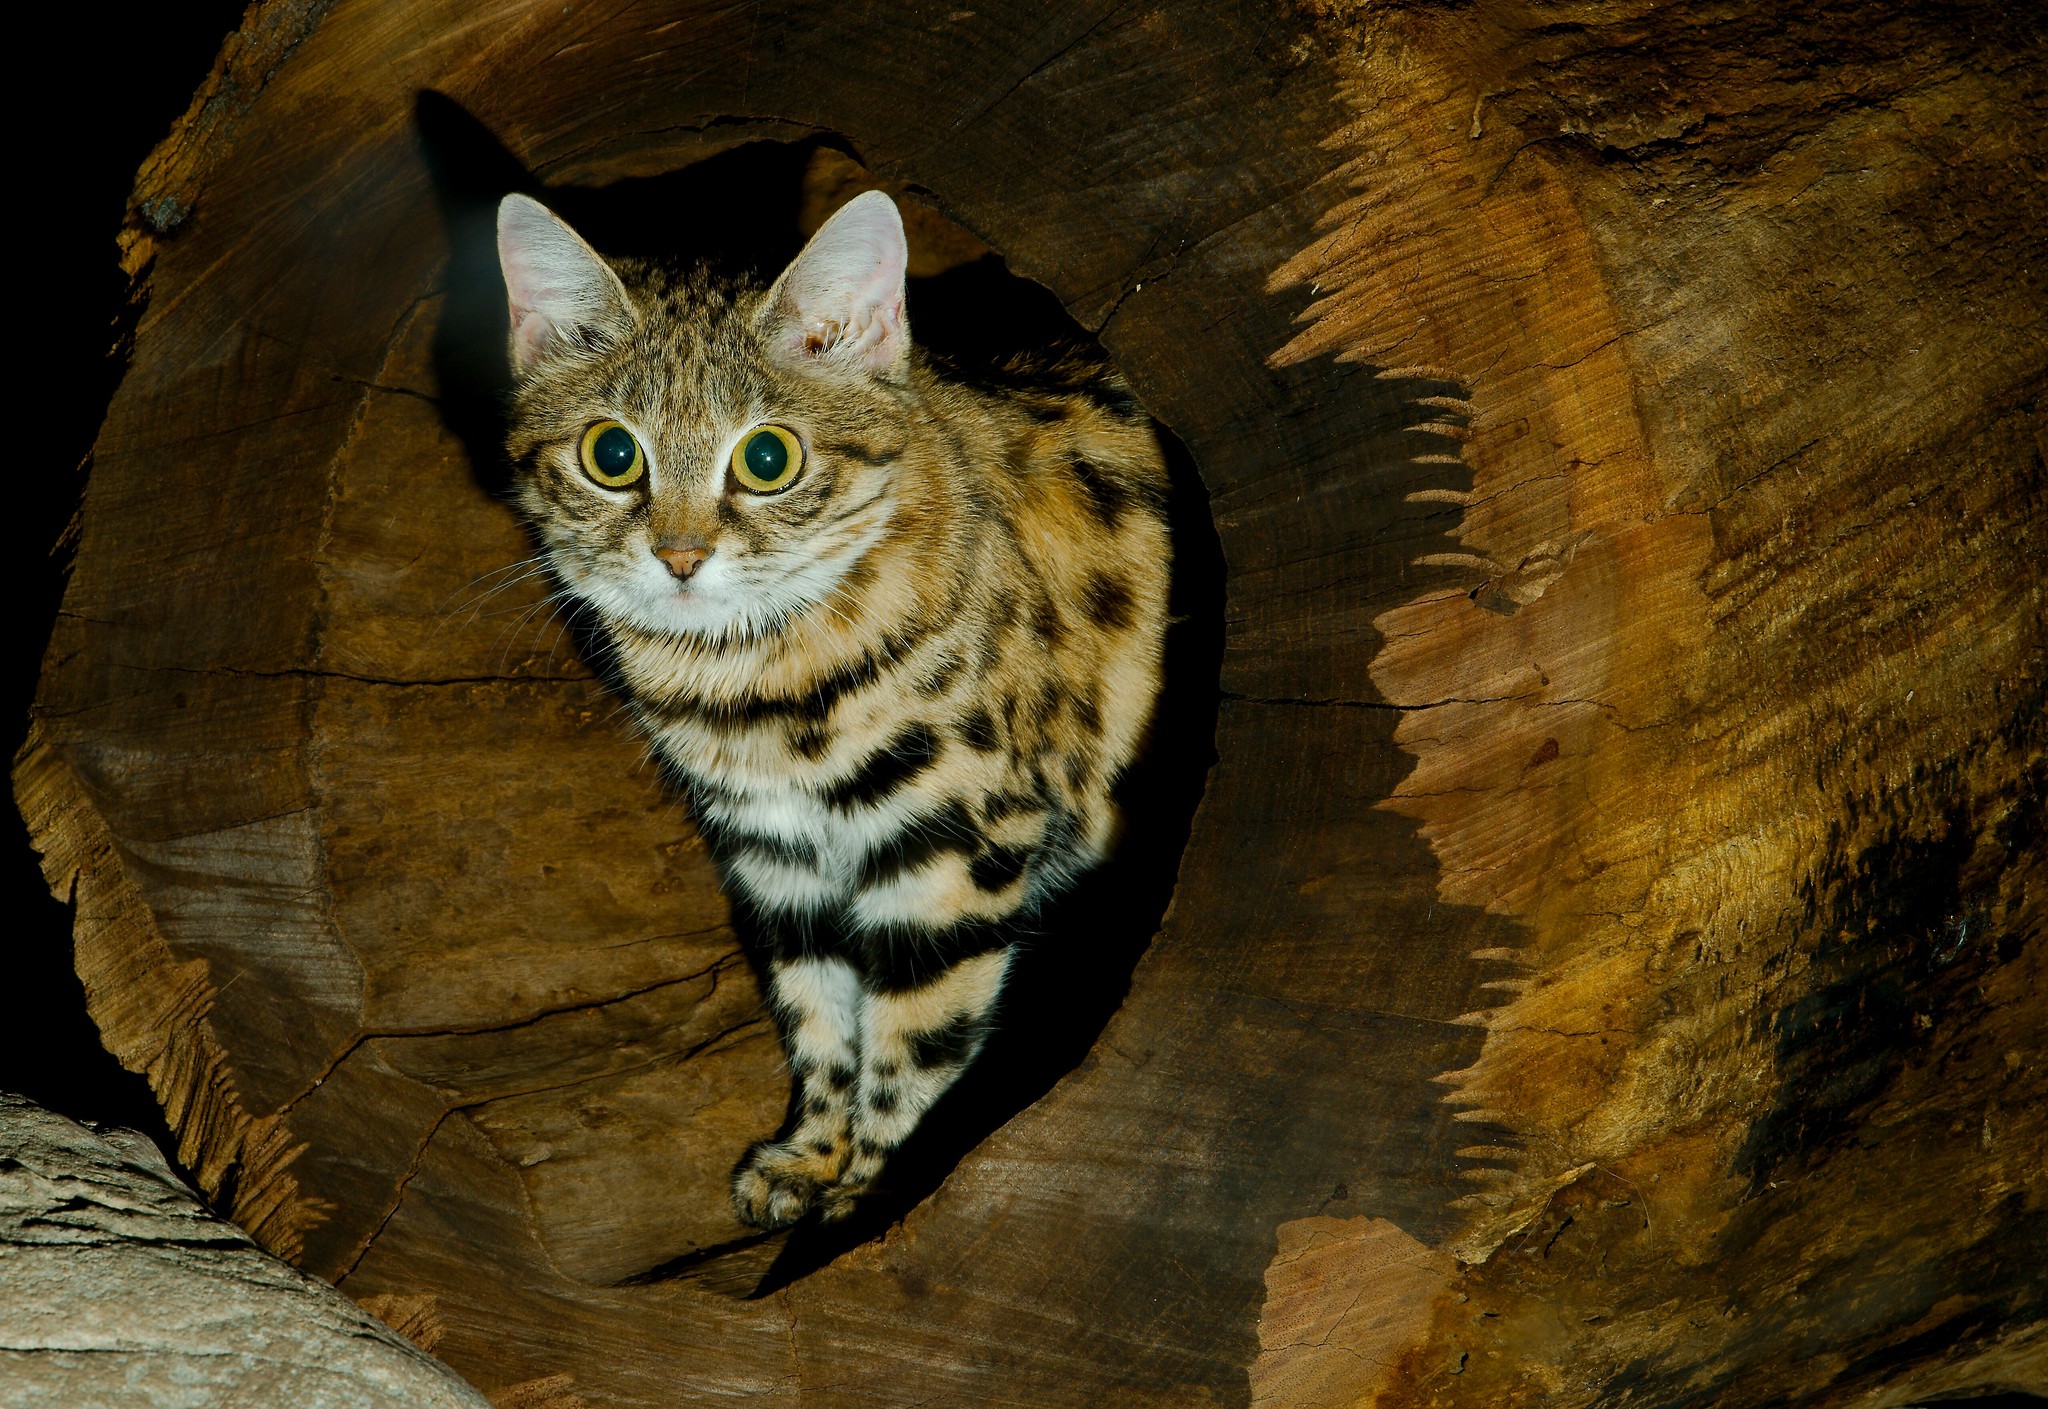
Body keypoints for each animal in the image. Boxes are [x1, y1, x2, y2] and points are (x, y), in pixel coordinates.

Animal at [491, 189, 1171, 1228]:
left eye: (768, 458)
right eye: (611, 454)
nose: (680, 557)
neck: (759, 694)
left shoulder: (957, 842)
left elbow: (919, 1033)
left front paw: (870, 1196)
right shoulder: (777, 854)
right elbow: (818, 1005)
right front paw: (812, 1158)